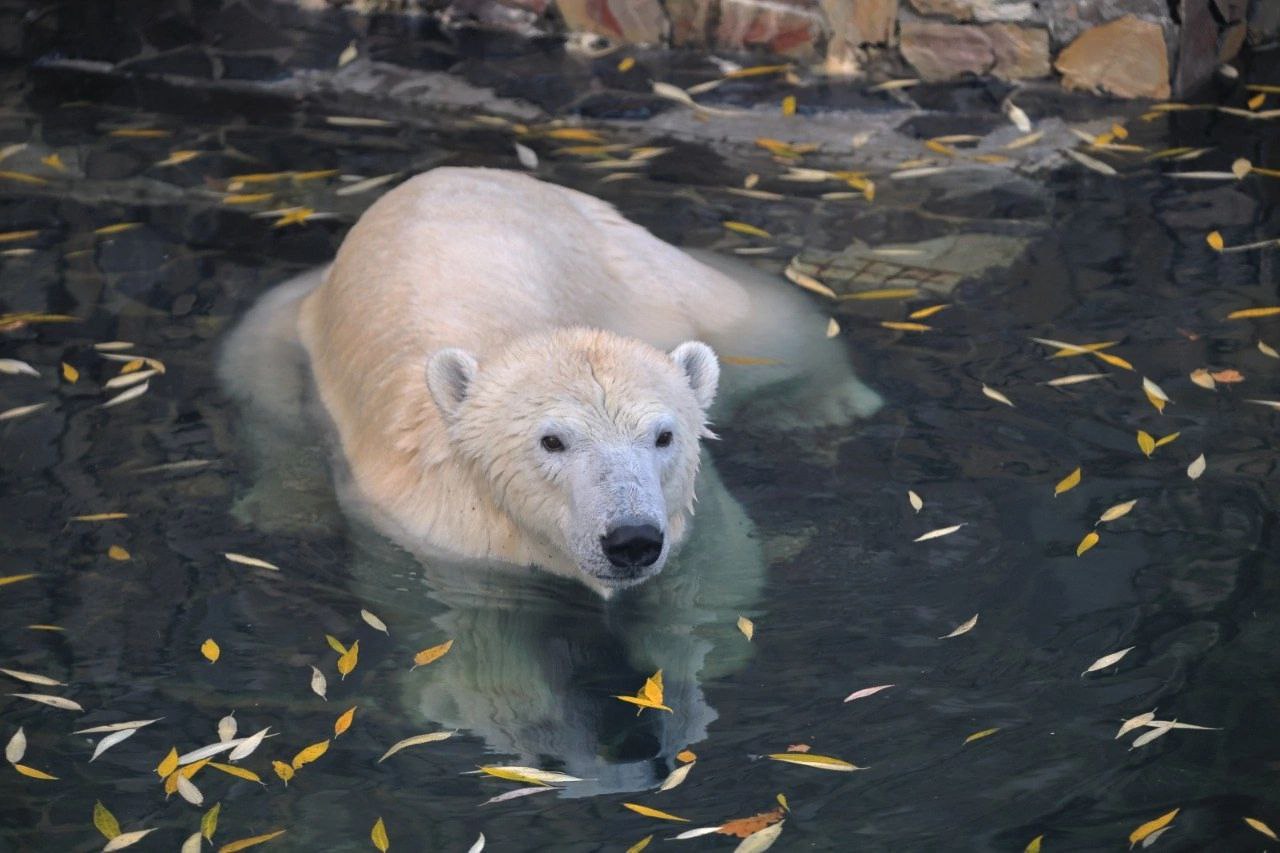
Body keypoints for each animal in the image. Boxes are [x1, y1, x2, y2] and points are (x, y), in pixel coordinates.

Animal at [235, 163, 880, 591]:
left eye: (664, 436)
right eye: (552, 441)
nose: (632, 540)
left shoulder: (695, 522)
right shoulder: (436, 538)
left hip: (633, 263)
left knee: (760, 321)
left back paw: (834, 402)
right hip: (285, 325)